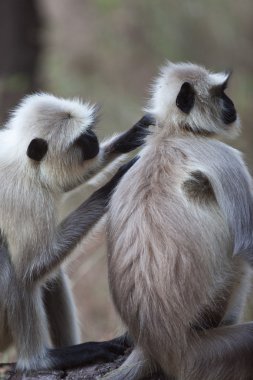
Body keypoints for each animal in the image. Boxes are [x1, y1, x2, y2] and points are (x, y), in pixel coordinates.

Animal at [0, 93, 152, 372]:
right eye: (82, 138)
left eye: (89, 130)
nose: (93, 138)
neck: (22, 161)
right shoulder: (24, 197)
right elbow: (30, 265)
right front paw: (110, 187)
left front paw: (132, 136)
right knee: (15, 268)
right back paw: (41, 361)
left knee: (52, 276)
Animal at [105, 63, 253, 380]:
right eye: (221, 93)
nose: (232, 105)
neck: (174, 133)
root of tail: (155, 346)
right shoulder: (226, 158)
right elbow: (248, 243)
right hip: (205, 353)